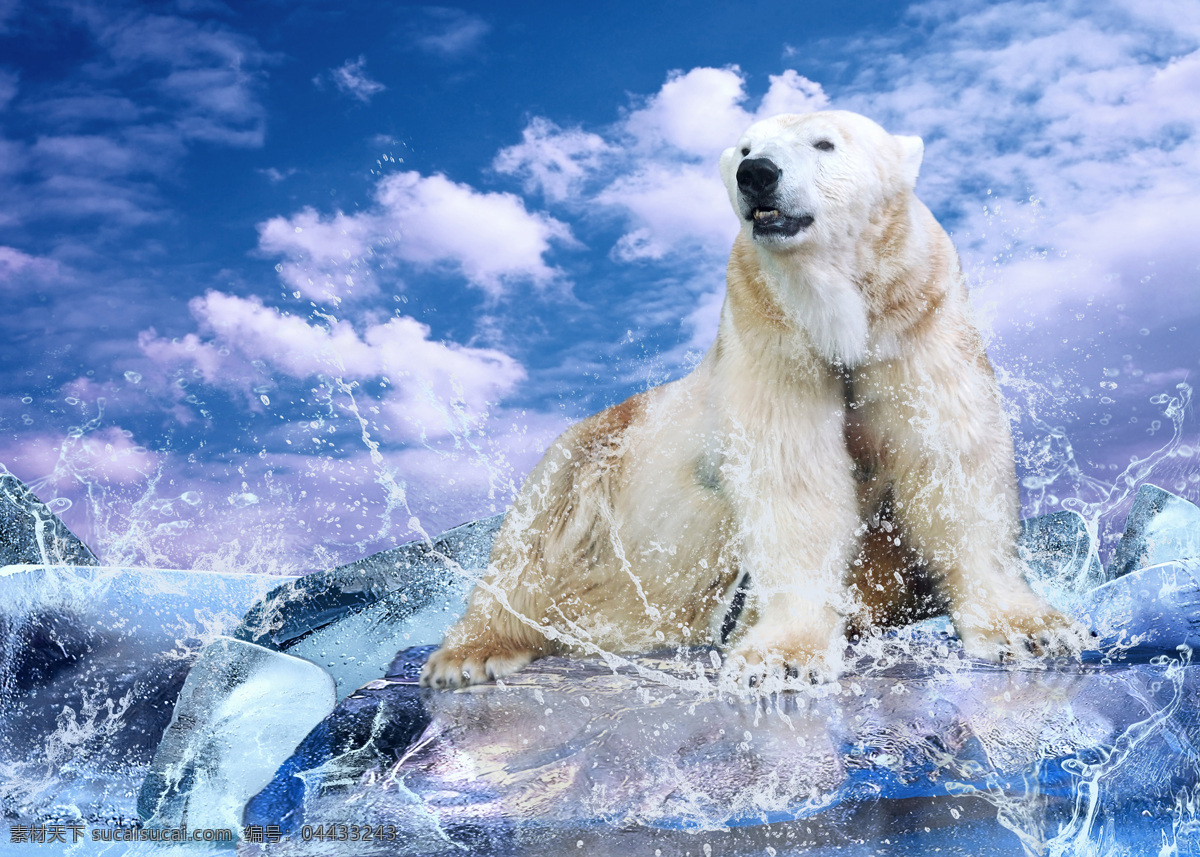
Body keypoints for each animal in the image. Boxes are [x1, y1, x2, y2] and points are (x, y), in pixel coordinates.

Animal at [417, 110, 1084, 691]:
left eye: (824, 142)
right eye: (743, 147)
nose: (756, 173)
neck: (835, 317)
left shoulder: (918, 318)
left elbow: (950, 458)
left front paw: (1032, 631)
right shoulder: (769, 336)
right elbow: (791, 476)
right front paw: (782, 660)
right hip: (588, 455)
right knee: (528, 540)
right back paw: (471, 655)